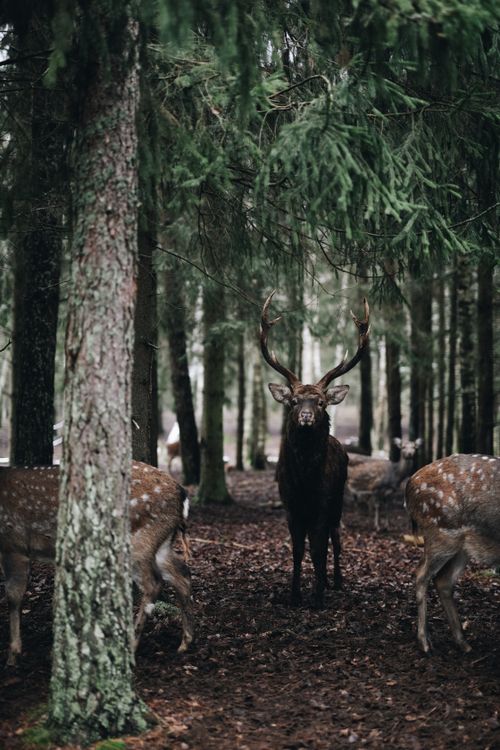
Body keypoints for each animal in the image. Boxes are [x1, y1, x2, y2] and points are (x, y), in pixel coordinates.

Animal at [0, 461, 194, 666]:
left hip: (138, 540)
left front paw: (12, 655)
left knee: (154, 583)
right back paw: (185, 643)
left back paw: (131, 646)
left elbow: (13, 595)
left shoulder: (14, 544)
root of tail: (182, 494)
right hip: (160, 544)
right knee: (181, 574)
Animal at [261, 291, 370, 608]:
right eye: (294, 401)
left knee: (336, 538)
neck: (306, 481)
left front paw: (318, 596)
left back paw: (336, 581)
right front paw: (295, 594)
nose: (307, 416)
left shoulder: (323, 503)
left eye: (320, 402)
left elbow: (320, 548)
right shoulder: (291, 506)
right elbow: (298, 550)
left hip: (339, 500)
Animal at [405, 453, 500, 654]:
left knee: (443, 580)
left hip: (461, 546)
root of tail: (410, 483)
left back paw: (463, 643)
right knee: (421, 573)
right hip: (441, 532)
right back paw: (425, 642)